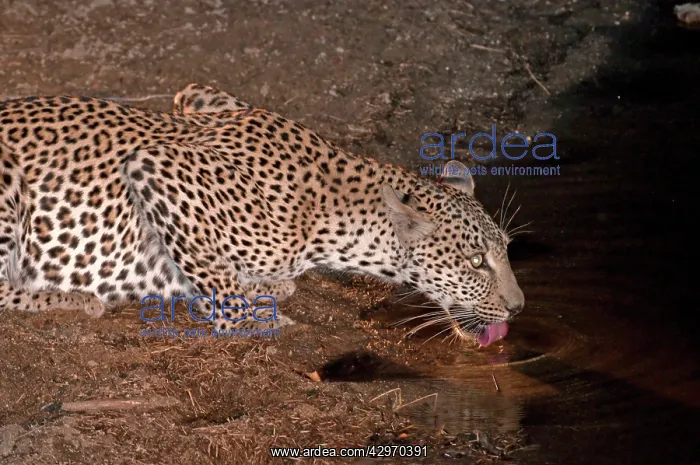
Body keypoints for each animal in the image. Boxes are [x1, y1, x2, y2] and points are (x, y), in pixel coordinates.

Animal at [0, 83, 524, 347]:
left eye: (505, 250)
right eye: (476, 262)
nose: (519, 308)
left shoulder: (200, 97)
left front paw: (264, 288)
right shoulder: (157, 165)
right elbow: (215, 277)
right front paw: (248, 318)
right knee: (5, 289)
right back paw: (70, 297)